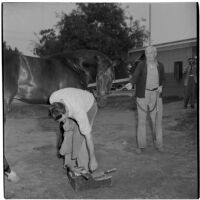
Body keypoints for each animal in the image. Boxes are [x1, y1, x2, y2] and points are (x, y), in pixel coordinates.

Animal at [3, 49, 114, 182]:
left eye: (111, 76)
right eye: (107, 75)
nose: (102, 101)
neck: (74, 66)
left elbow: (62, 130)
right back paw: (10, 173)